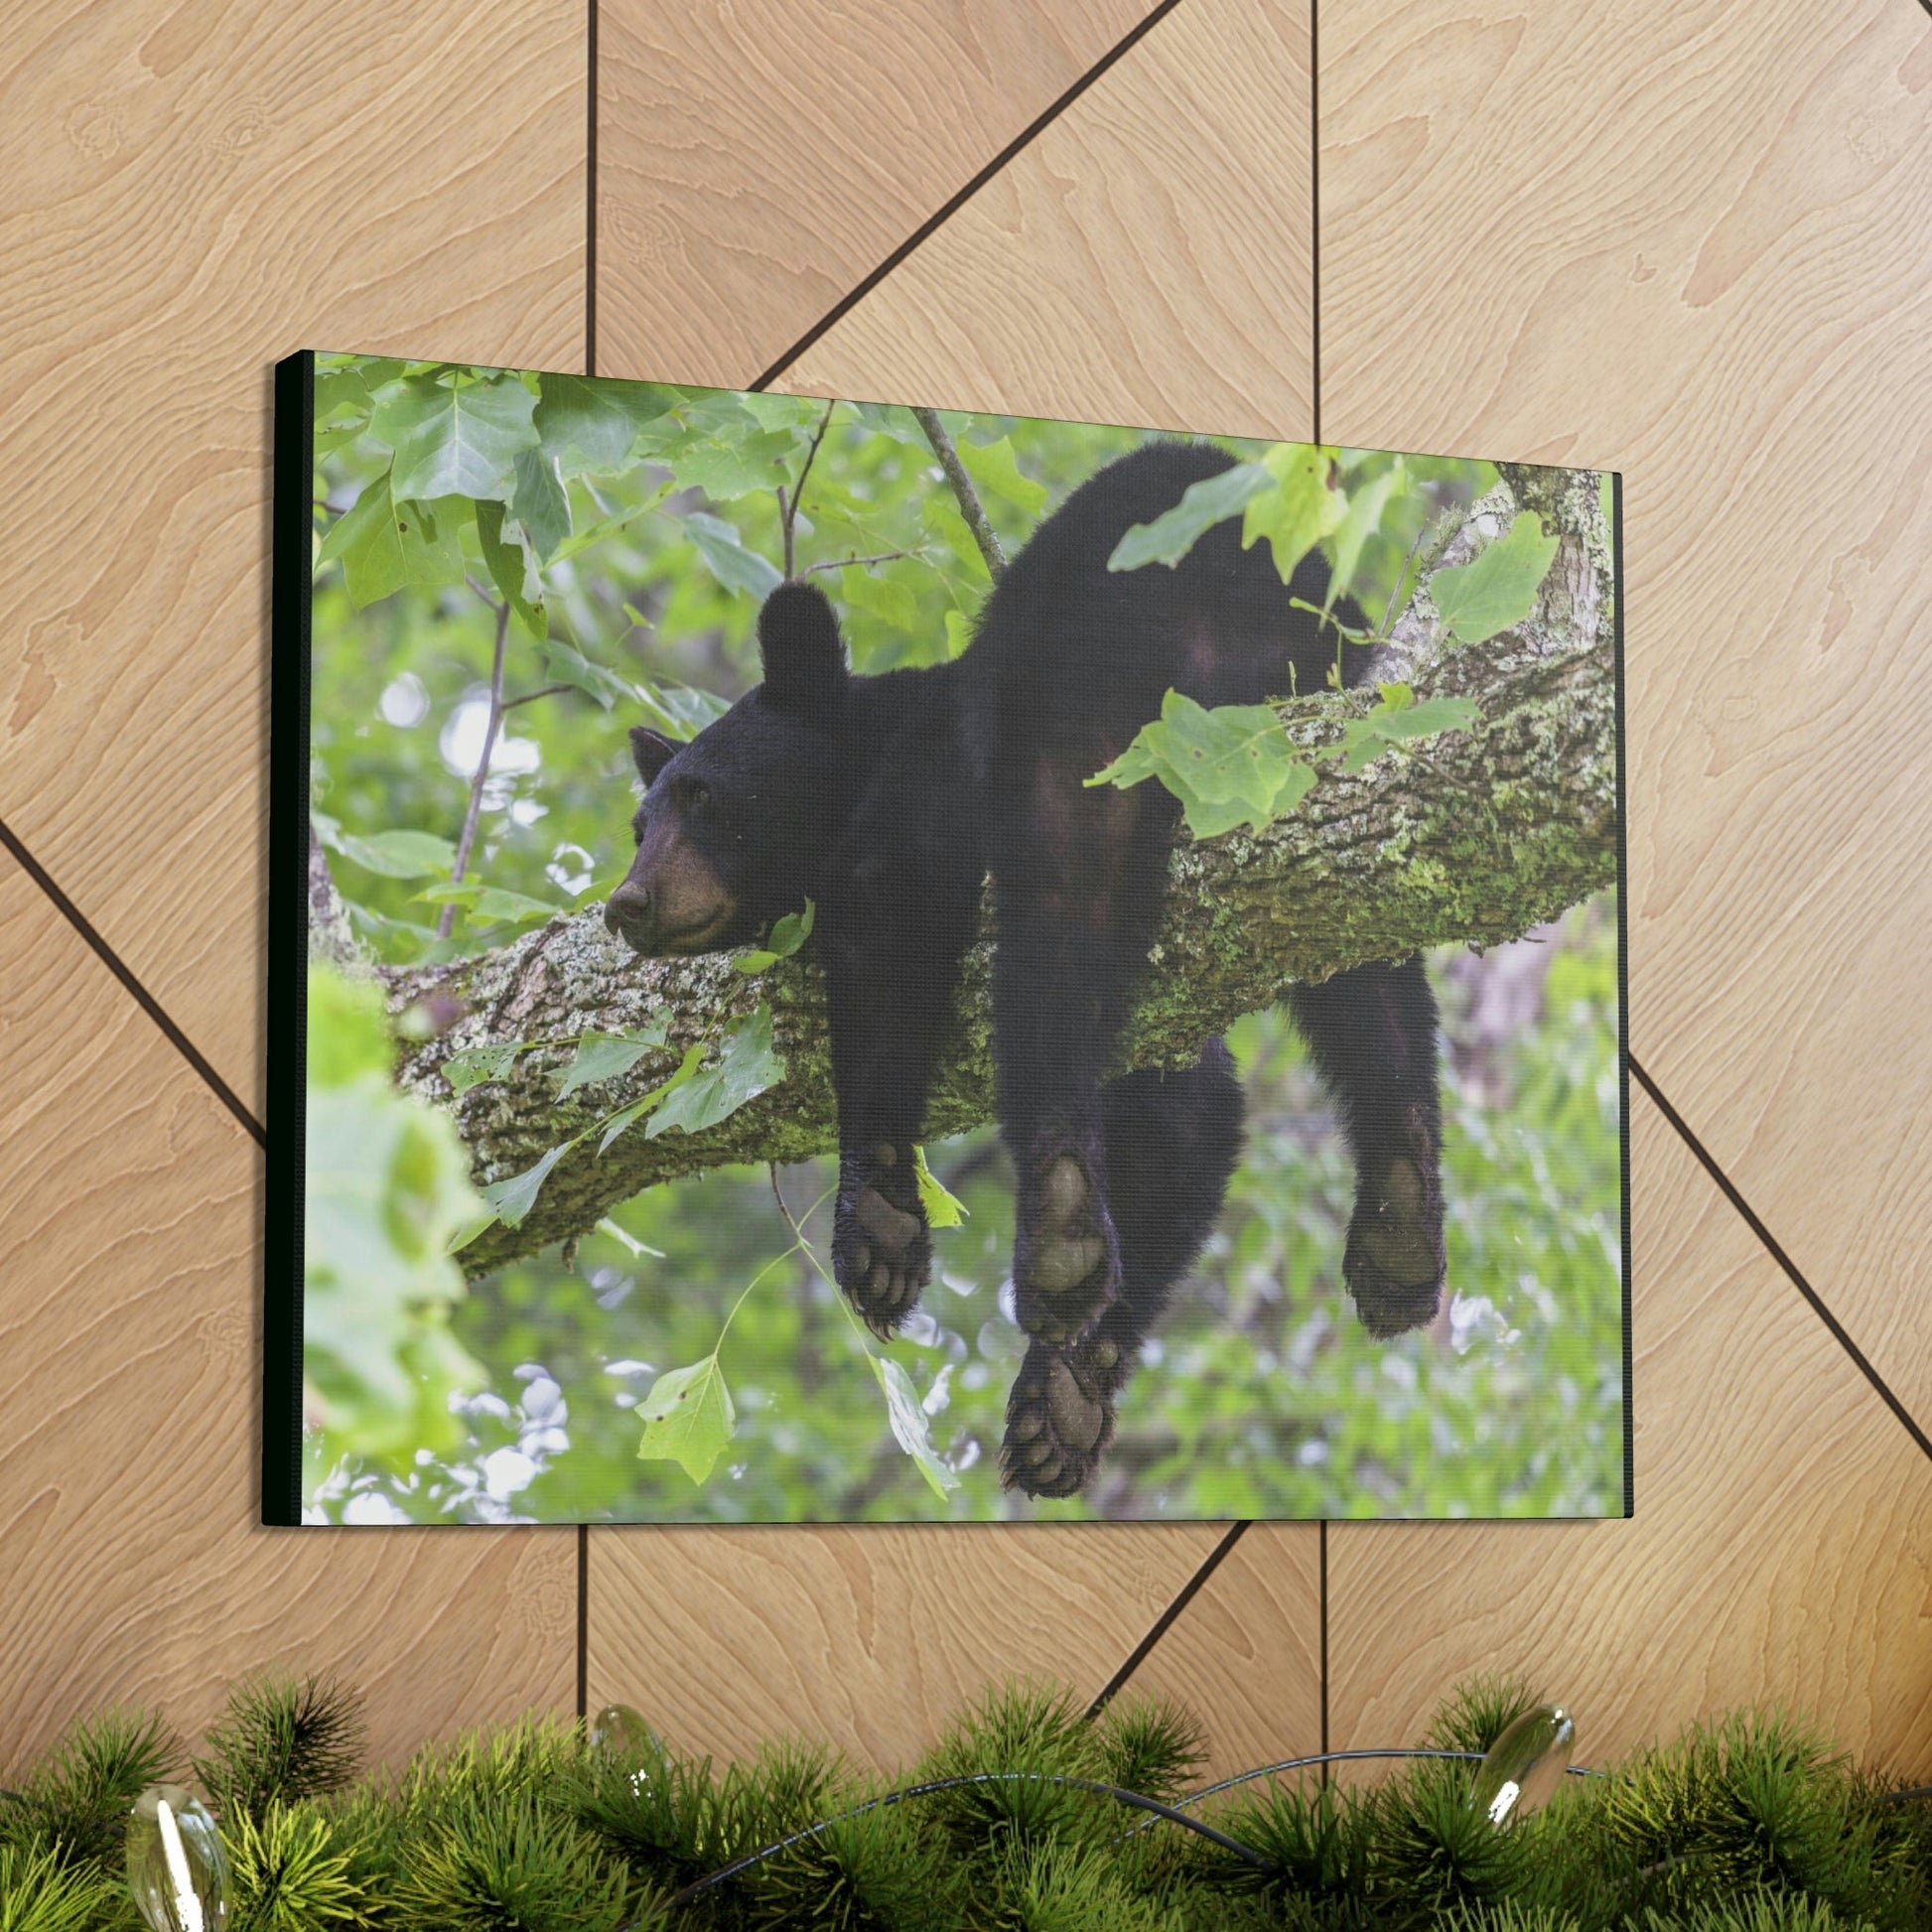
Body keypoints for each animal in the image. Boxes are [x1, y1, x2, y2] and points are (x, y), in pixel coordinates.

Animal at [610, 444, 1445, 1499]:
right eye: (641, 824)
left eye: (705, 798)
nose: (628, 903)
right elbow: (1190, 1113)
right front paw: (1067, 1401)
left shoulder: (923, 782)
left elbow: (886, 917)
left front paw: (880, 1223)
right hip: (1307, 729)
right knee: (1360, 955)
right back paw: (1399, 1221)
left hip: (1073, 703)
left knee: (1059, 916)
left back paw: (1055, 1225)